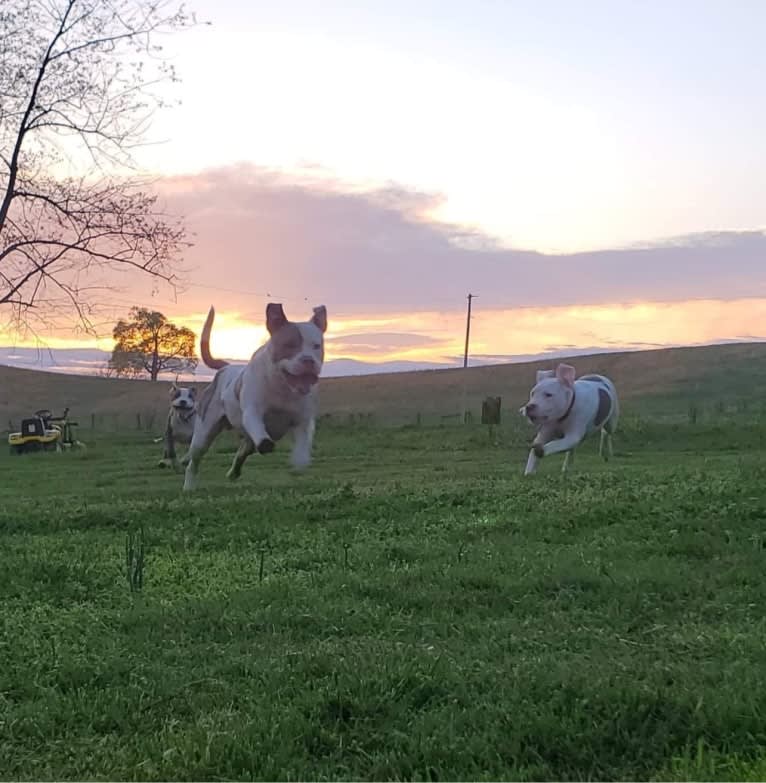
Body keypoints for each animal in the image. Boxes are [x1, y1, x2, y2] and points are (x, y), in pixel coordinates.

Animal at [185, 300, 330, 490]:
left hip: (246, 442)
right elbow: (258, 428)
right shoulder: (252, 412)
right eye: (289, 344)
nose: (308, 360)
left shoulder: (303, 420)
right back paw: (189, 486)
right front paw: (266, 444)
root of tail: (226, 367)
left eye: (316, 346)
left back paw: (233, 473)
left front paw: (299, 461)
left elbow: (303, 447)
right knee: (194, 461)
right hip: (204, 433)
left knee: (241, 452)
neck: (282, 386)